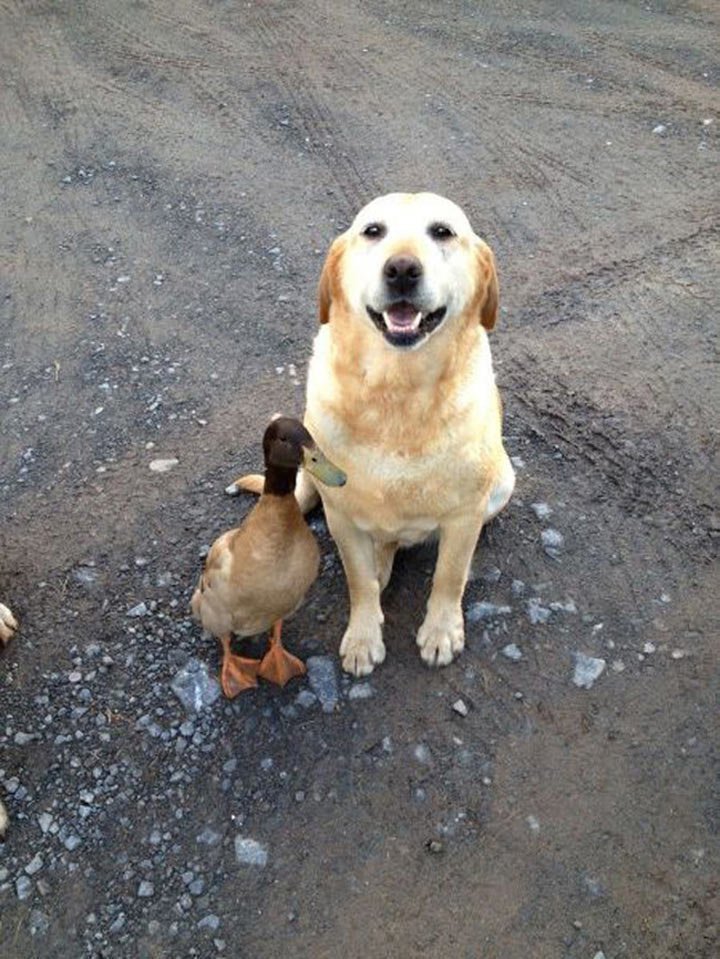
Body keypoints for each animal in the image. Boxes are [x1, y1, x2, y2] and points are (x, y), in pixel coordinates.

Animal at [240, 193, 512, 676]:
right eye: (373, 231)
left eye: (442, 231)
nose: (401, 269)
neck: (398, 394)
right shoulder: (342, 518)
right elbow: (359, 581)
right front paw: (364, 637)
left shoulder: (464, 516)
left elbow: (449, 577)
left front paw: (442, 630)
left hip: (503, 483)